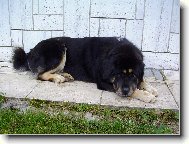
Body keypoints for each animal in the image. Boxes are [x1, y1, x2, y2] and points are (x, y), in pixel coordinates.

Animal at [12, 37, 146, 97]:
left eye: (133, 75)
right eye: (118, 74)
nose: (125, 91)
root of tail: (30, 53)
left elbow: (141, 81)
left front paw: (146, 86)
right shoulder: (103, 82)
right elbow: (135, 92)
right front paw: (146, 95)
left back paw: (66, 75)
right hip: (59, 48)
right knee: (40, 74)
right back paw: (58, 77)